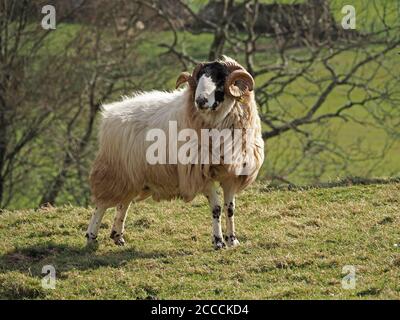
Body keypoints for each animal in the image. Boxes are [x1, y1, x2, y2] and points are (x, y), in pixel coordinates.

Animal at [86, 55, 264, 250]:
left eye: (220, 77)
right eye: (199, 77)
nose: (200, 101)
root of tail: (110, 113)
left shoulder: (232, 175)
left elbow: (229, 208)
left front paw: (232, 240)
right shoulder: (201, 174)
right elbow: (216, 209)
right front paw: (218, 242)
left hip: (133, 176)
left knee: (123, 204)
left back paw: (118, 237)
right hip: (114, 172)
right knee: (101, 205)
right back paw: (91, 236)